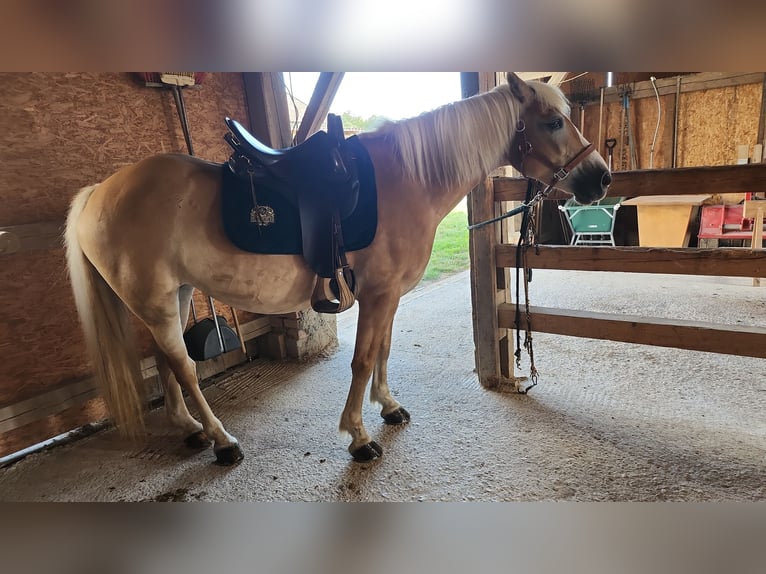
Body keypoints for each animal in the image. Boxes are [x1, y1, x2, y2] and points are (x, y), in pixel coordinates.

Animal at [64, 73, 612, 468]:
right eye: (552, 122)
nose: (601, 178)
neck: (406, 180)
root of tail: (99, 192)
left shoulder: (389, 296)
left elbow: (383, 351)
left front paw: (388, 408)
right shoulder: (377, 294)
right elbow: (363, 358)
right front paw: (358, 436)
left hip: (173, 297)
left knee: (166, 361)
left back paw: (191, 431)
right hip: (156, 301)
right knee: (183, 365)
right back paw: (222, 441)